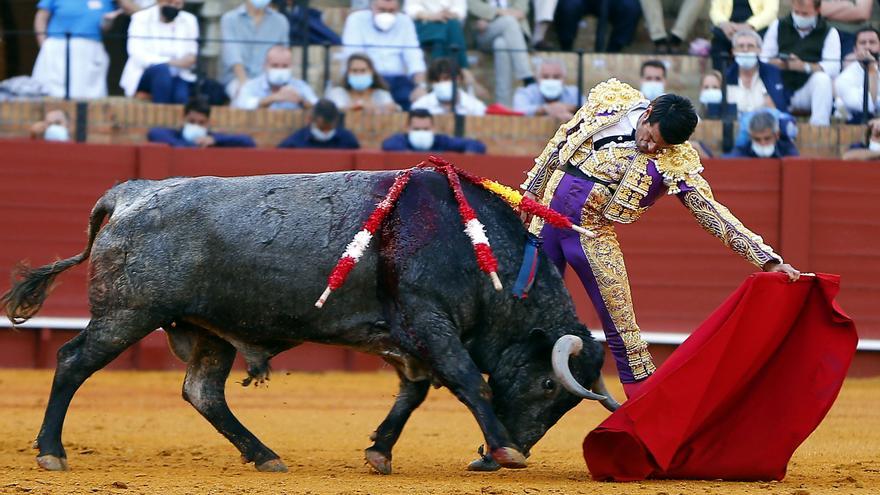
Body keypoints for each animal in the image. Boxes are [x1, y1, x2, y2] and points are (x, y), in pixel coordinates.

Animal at [1, 170, 620, 476]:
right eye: (548, 386)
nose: (505, 449)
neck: (469, 244)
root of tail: (130, 193)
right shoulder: (430, 321)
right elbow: (469, 381)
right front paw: (504, 450)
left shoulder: (406, 339)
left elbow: (414, 393)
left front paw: (380, 452)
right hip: (127, 314)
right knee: (72, 362)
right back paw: (51, 452)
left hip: (207, 330)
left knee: (202, 392)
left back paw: (264, 456)